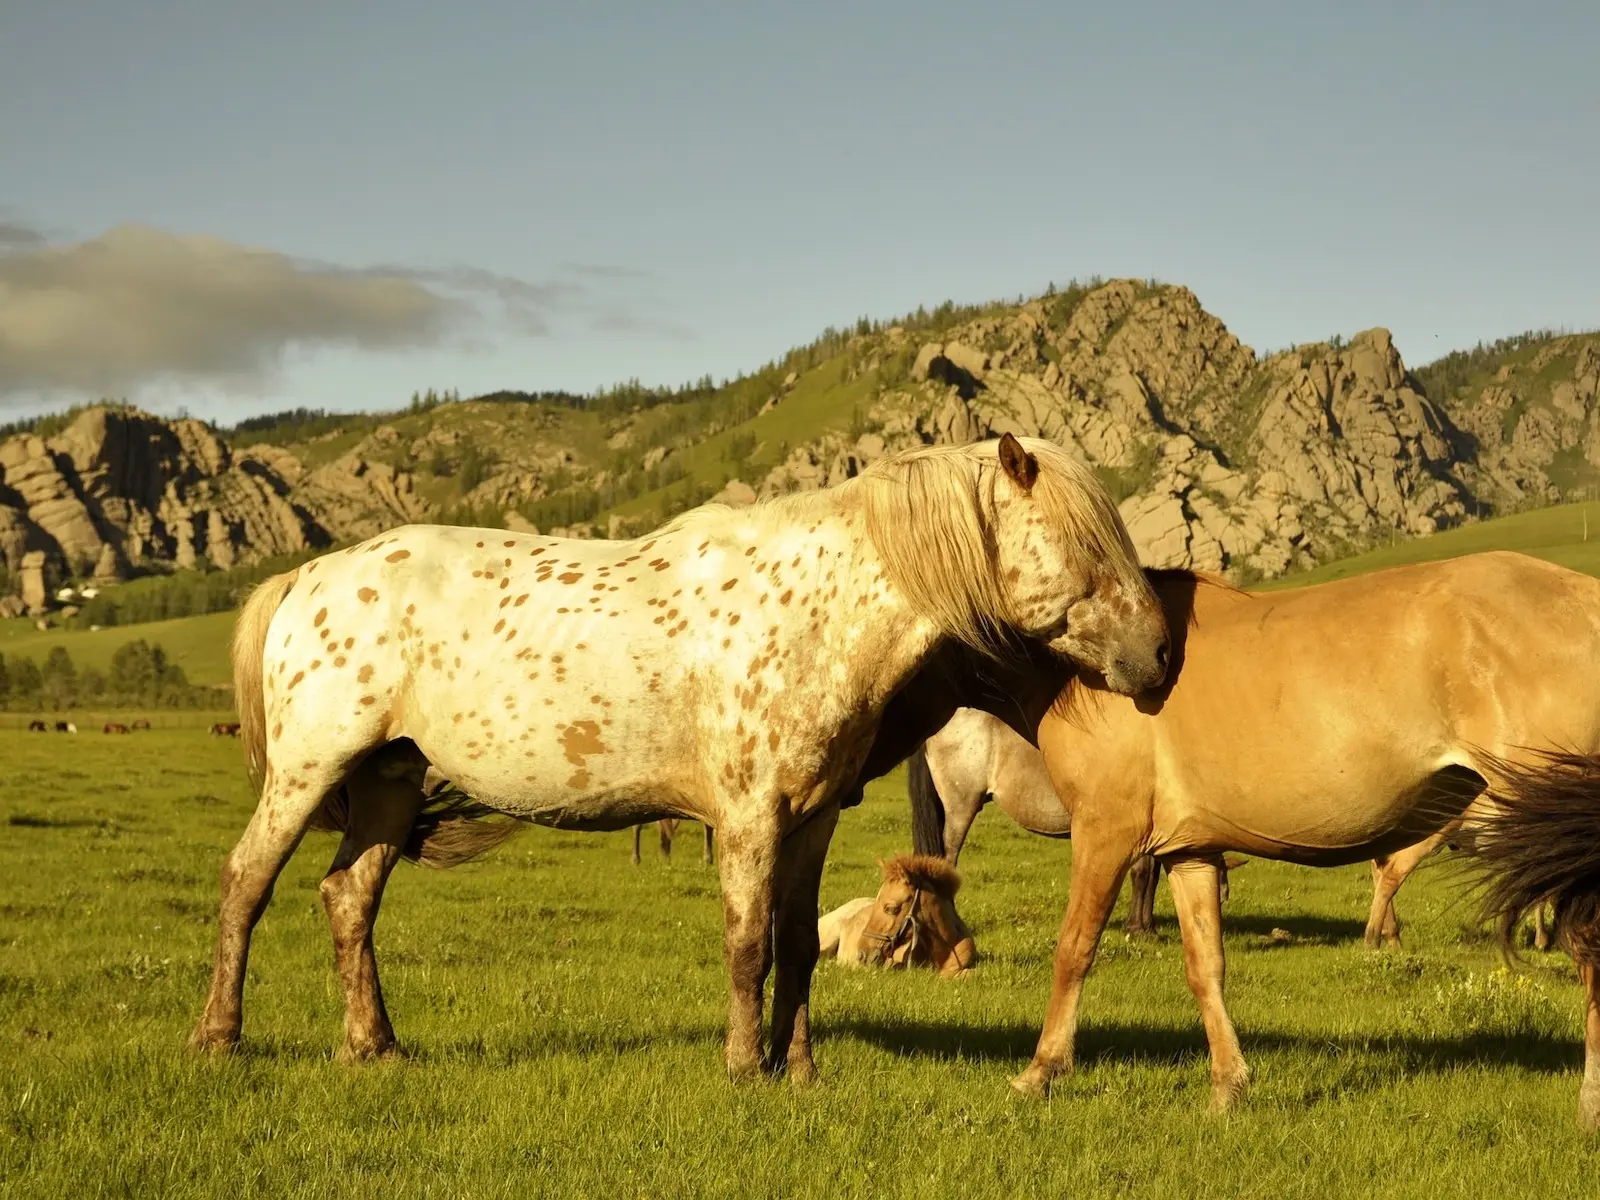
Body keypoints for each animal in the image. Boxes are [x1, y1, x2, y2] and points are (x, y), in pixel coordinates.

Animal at [1011, 550, 1600, 1132]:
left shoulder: (1104, 830)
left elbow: (1074, 949)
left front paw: (1041, 1072)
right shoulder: (1187, 851)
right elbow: (1205, 967)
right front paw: (1228, 1088)